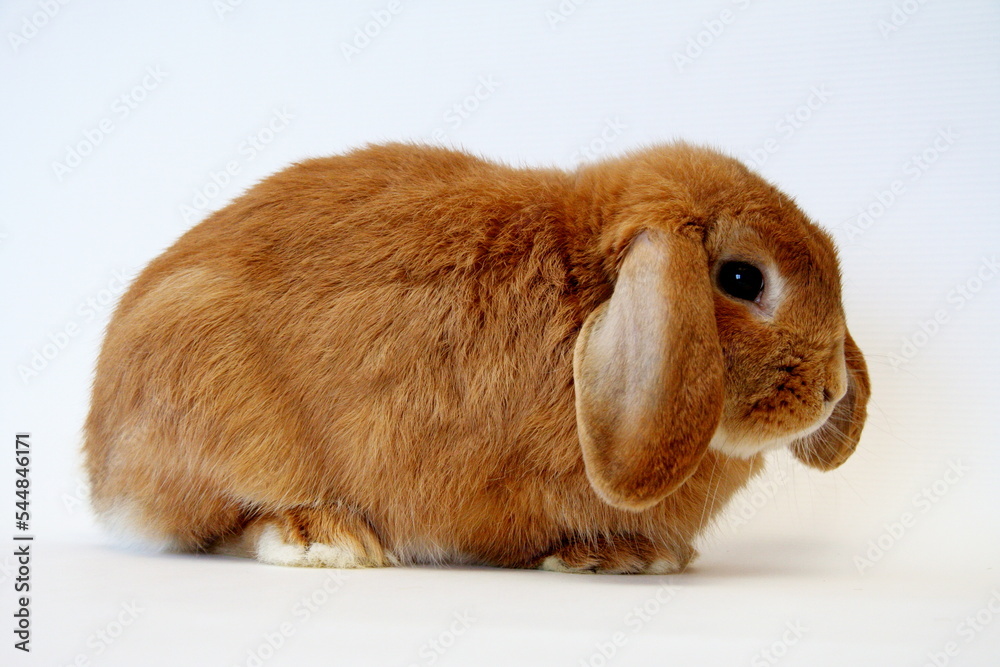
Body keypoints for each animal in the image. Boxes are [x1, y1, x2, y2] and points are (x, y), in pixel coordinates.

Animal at [83, 142, 870, 574]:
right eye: (741, 278)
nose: (832, 391)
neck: (586, 289)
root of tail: (102, 461)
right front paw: (617, 555)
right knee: (223, 524)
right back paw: (323, 537)